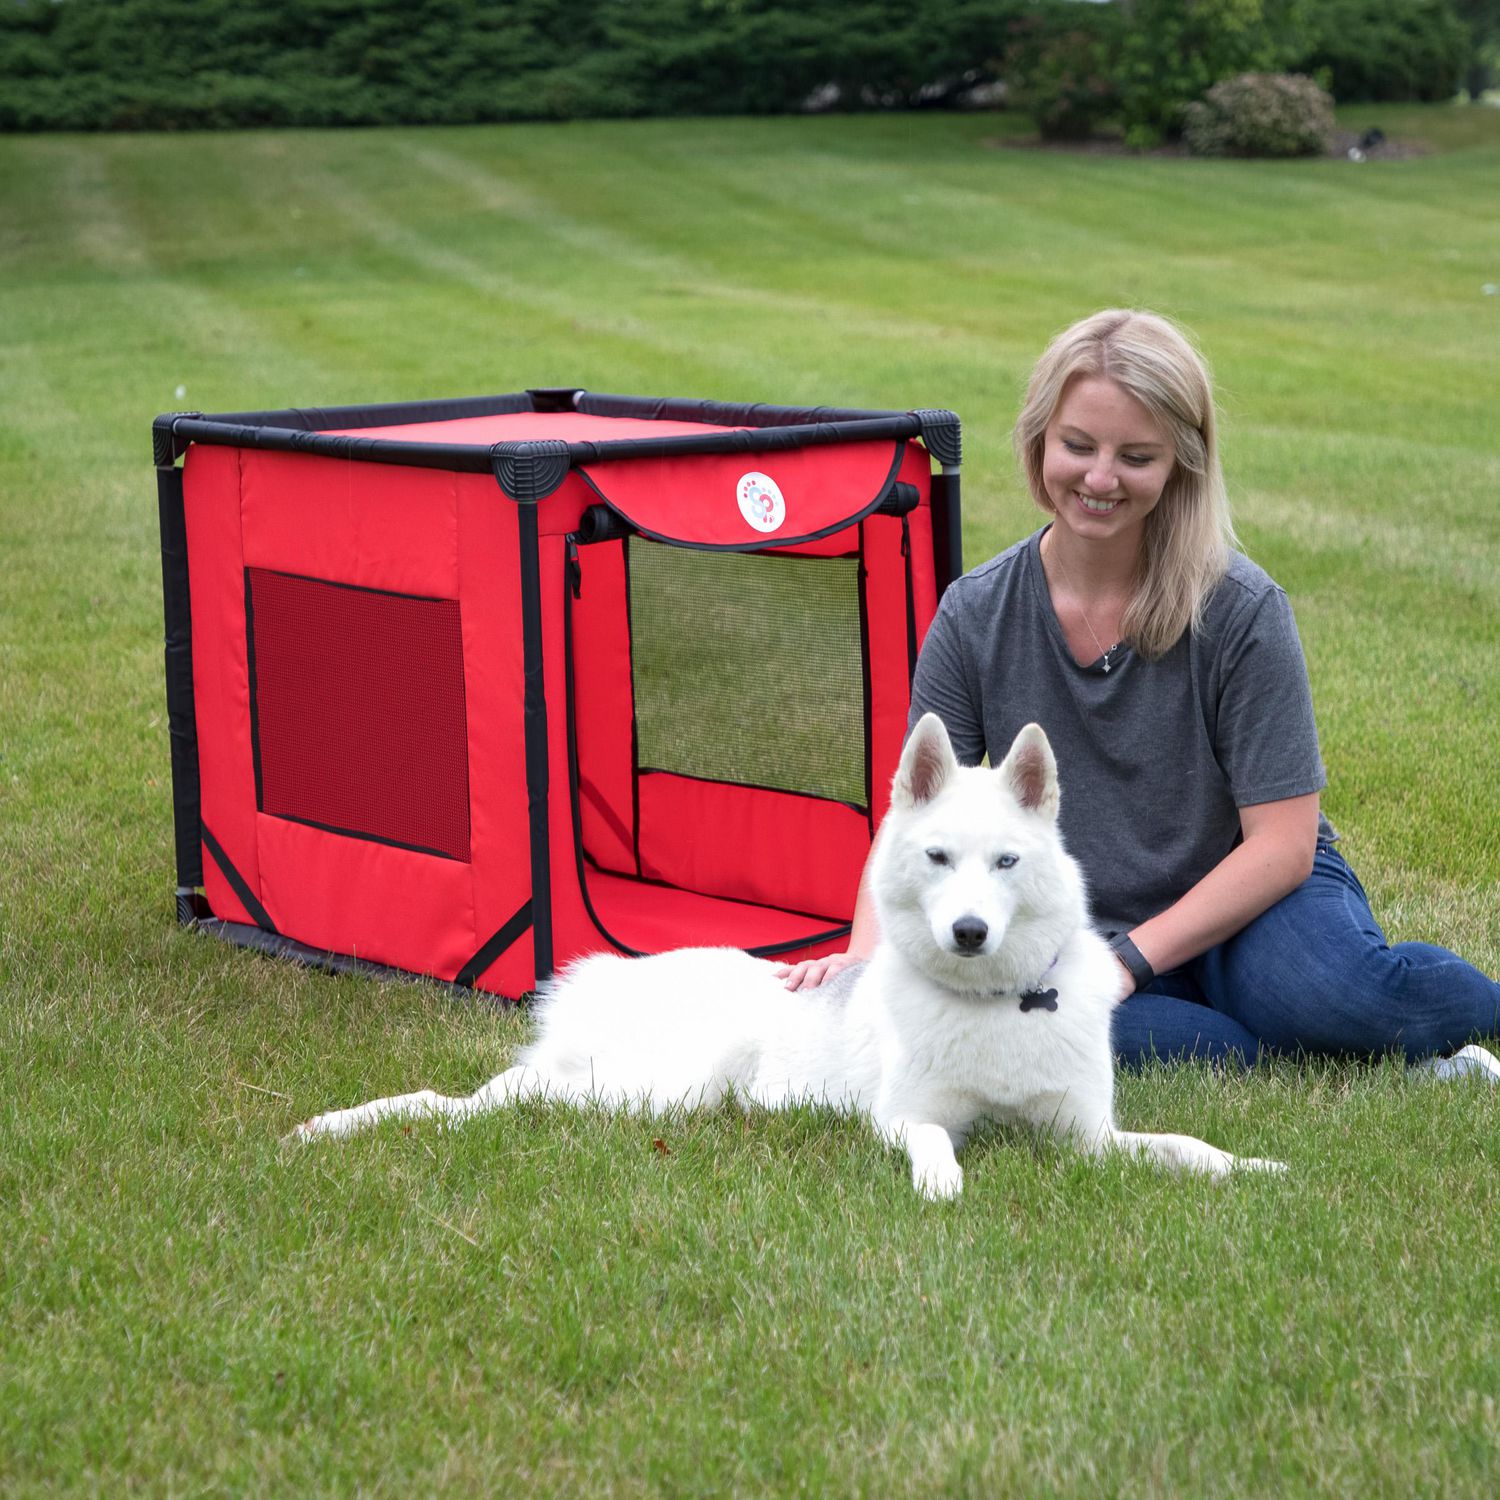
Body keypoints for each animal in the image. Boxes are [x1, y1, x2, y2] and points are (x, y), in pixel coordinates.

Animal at [295, 714, 1290, 1194]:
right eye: (939, 859)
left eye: (1006, 863)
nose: (969, 932)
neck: (991, 1008)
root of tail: (617, 972)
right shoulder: (902, 1117)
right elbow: (934, 1139)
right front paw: (942, 1181)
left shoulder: (1090, 1139)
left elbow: (1182, 1147)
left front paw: (1254, 1170)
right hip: (656, 1090)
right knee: (474, 1100)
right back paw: (338, 1125)